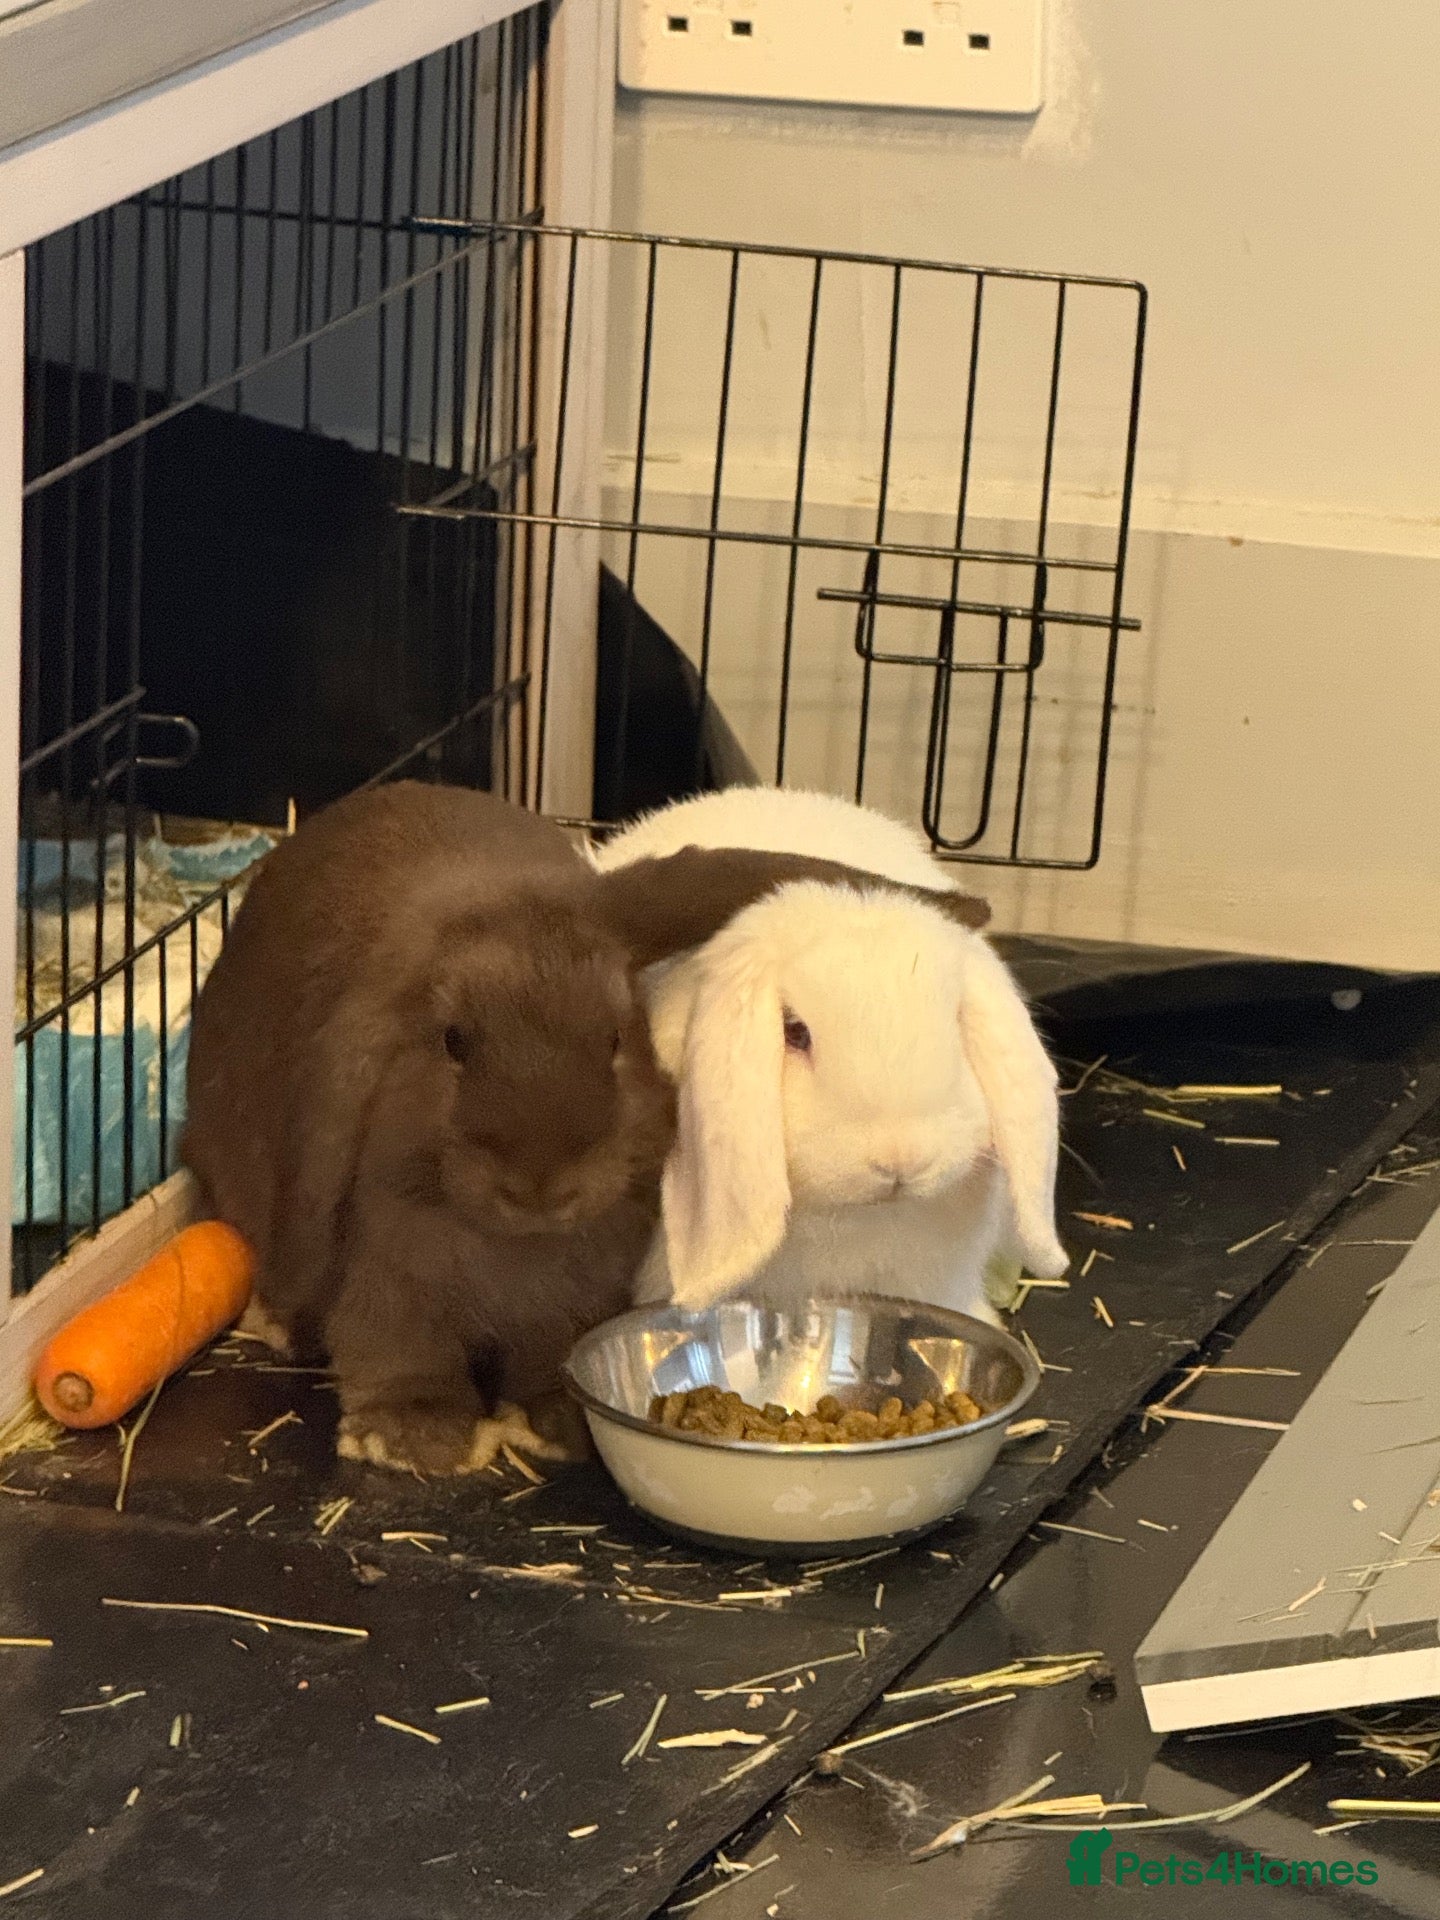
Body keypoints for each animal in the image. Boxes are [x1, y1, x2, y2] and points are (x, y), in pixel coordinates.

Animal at [182, 780, 985, 1475]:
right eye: (452, 1042)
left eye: (615, 1037)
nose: (541, 1185)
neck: (519, 1246)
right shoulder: (390, 1277)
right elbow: (399, 1353)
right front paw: (414, 1440)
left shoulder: (570, 1303)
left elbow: (547, 1359)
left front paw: (558, 1423)